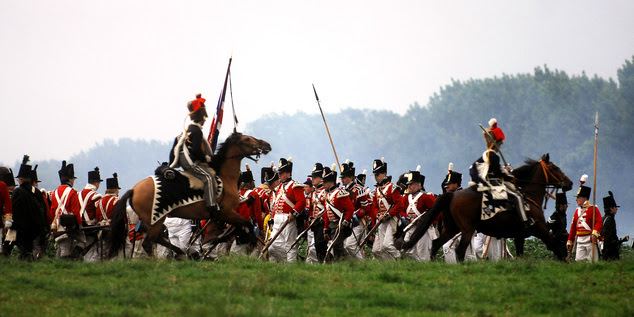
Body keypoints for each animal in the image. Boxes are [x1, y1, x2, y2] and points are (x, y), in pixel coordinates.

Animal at [108, 131, 270, 256]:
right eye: (247, 139)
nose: (266, 145)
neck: (225, 177)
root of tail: (134, 189)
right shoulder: (226, 212)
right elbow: (246, 224)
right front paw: (249, 240)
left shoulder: (227, 215)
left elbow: (238, 227)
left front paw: (218, 239)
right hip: (156, 220)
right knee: (148, 243)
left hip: (154, 221)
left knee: (159, 239)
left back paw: (181, 252)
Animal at [404, 154, 572, 262]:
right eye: (554, 168)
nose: (569, 183)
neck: (529, 196)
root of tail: (451, 195)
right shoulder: (540, 228)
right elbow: (555, 245)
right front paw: (565, 262)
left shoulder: (519, 235)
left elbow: (522, 254)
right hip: (467, 229)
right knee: (459, 250)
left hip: (452, 228)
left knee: (436, 244)